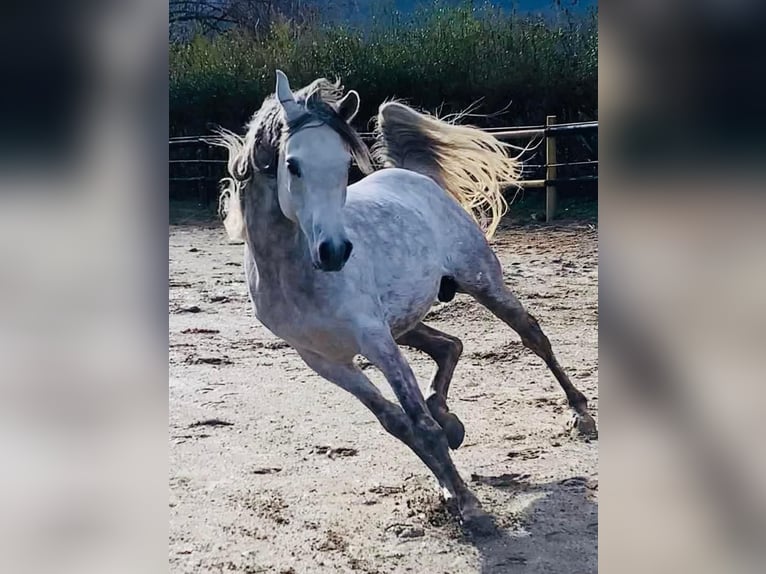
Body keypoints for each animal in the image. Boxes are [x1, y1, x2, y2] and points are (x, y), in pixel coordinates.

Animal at [216, 72, 600, 536]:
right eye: (293, 165)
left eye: (344, 165)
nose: (335, 251)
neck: (292, 274)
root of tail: (413, 176)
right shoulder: (324, 360)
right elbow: (398, 423)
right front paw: (450, 491)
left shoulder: (376, 341)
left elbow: (420, 424)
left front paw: (470, 507)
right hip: (404, 323)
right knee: (450, 346)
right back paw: (451, 419)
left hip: (482, 285)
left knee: (532, 336)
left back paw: (580, 415)